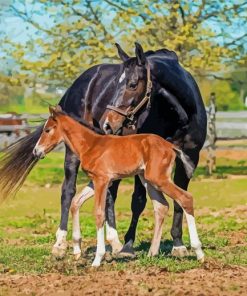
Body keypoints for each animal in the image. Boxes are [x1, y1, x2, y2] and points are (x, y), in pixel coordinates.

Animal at [33, 106, 205, 266]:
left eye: (47, 130)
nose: (36, 151)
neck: (90, 144)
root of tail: (170, 146)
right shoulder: (96, 181)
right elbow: (76, 203)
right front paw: (76, 251)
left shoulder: (101, 180)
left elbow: (99, 214)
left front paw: (97, 259)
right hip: (147, 179)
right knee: (161, 206)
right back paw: (152, 253)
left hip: (158, 178)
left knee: (185, 198)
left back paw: (199, 253)